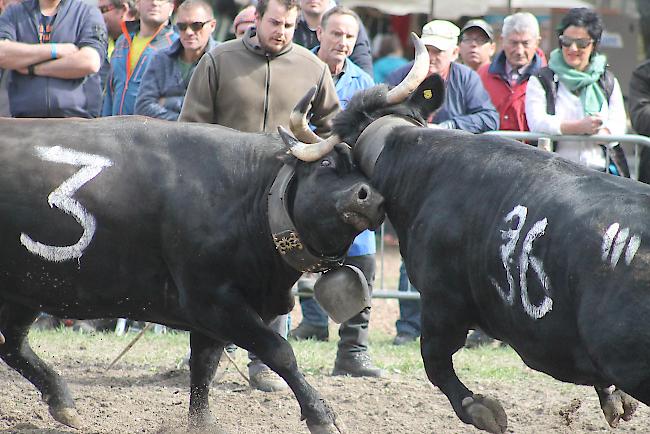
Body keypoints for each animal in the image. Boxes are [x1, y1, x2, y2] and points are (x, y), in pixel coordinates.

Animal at [0, 116, 384, 434]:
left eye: (363, 168)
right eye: (326, 163)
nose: (371, 197)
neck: (249, 195)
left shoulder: (212, 318)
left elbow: (204, 365)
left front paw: (202, 423)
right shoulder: (213, 302)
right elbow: (279, 351)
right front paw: (322, 416)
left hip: (27, 292)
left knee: (13, 346)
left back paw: (62, 402)